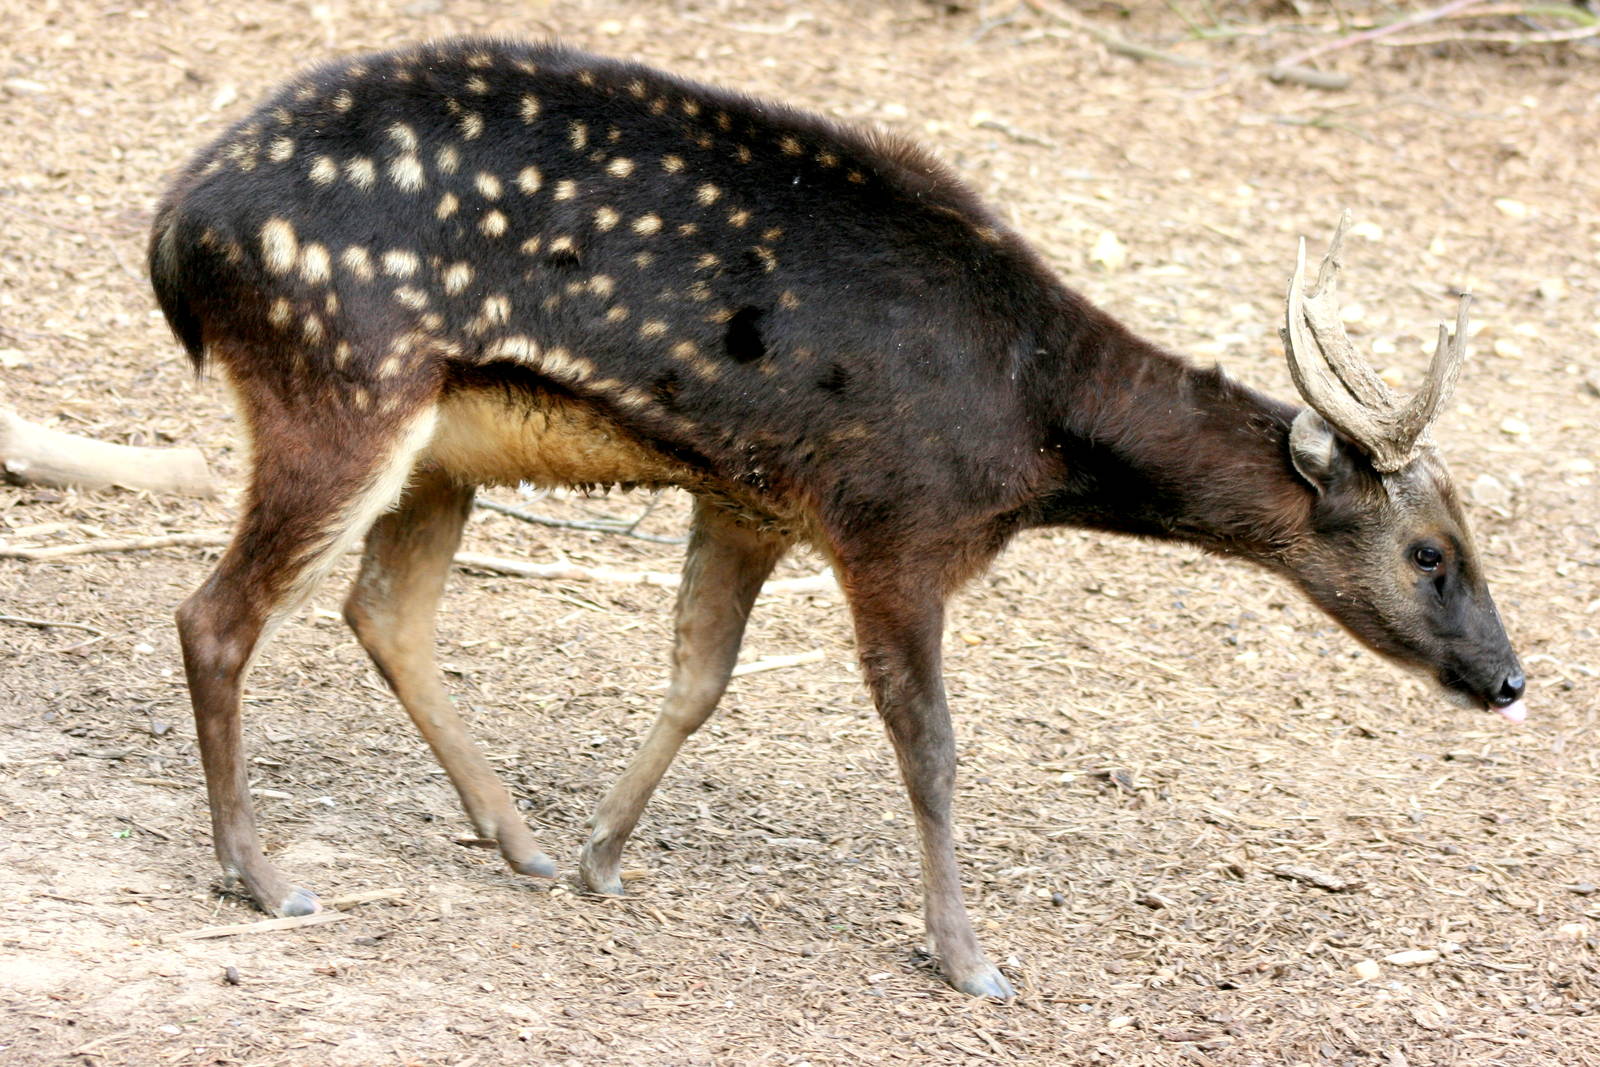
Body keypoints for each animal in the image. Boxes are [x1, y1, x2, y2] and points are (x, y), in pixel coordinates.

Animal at [148, 38, 1524, 999]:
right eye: (1429, 552)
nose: (1508, 678)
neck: (1029, 421)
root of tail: (177, 231)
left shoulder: (749, 494)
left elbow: (697, 677)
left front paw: (599, 855)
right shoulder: (890, 520)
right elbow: (933, 747)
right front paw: (970, 958)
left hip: (439, 443)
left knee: (384, 607)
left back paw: (518, 840)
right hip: (339, 384)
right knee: (216, 613)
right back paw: (261, 875)